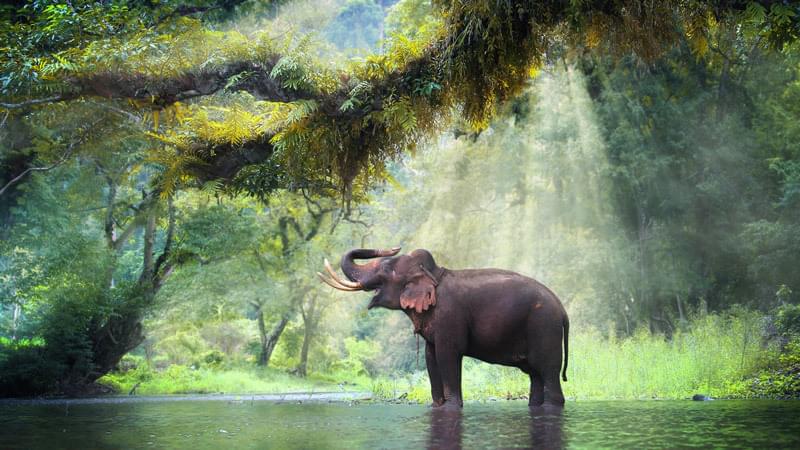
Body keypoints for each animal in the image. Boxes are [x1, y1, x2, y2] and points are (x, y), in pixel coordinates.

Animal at [318, 247, 570, 408]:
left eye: (387, 269)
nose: (393, 247)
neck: (434, 274)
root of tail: (562, 309)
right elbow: (431, 357)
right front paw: (436, 406)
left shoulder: (450, 316)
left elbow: (448, 354)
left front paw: (451, 407)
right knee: (535, 375)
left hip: (544, 327)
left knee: (547, 371)